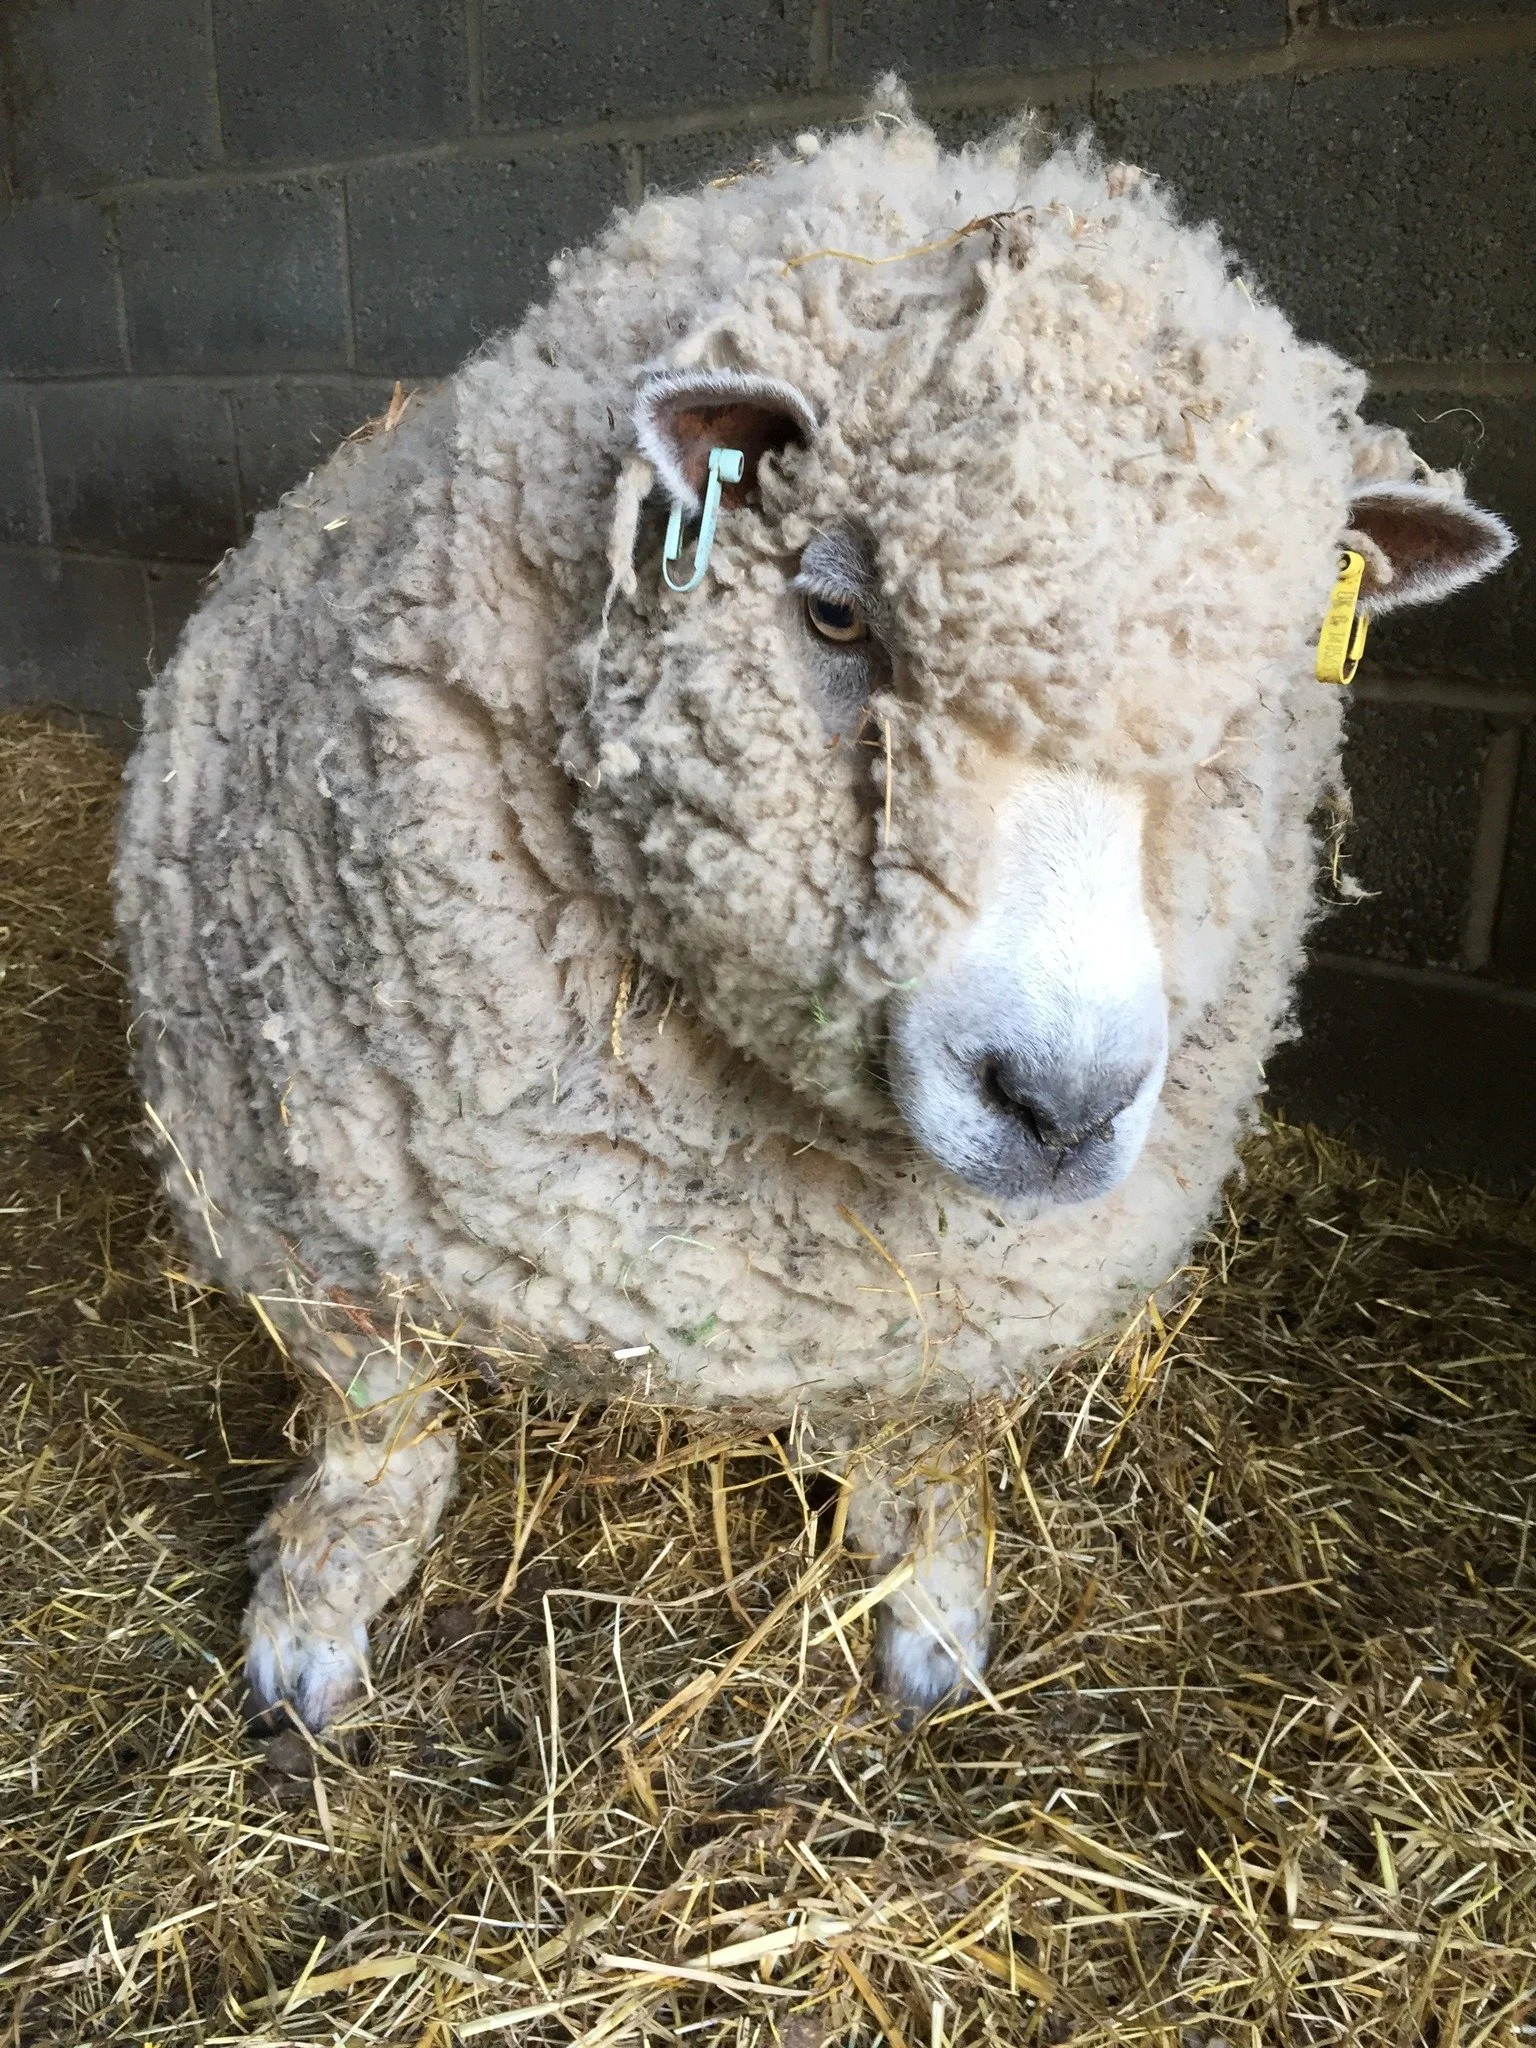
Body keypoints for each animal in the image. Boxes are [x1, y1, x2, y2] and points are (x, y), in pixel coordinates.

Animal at [115, 90, 1513, 1733]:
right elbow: (375, 1425)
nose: (1059, 1105)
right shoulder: (290, 1205)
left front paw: (935, 1614)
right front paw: (313, 1612)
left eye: (1270, 683)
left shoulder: (947, 1310)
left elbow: (922, 1445)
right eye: (836, 613)